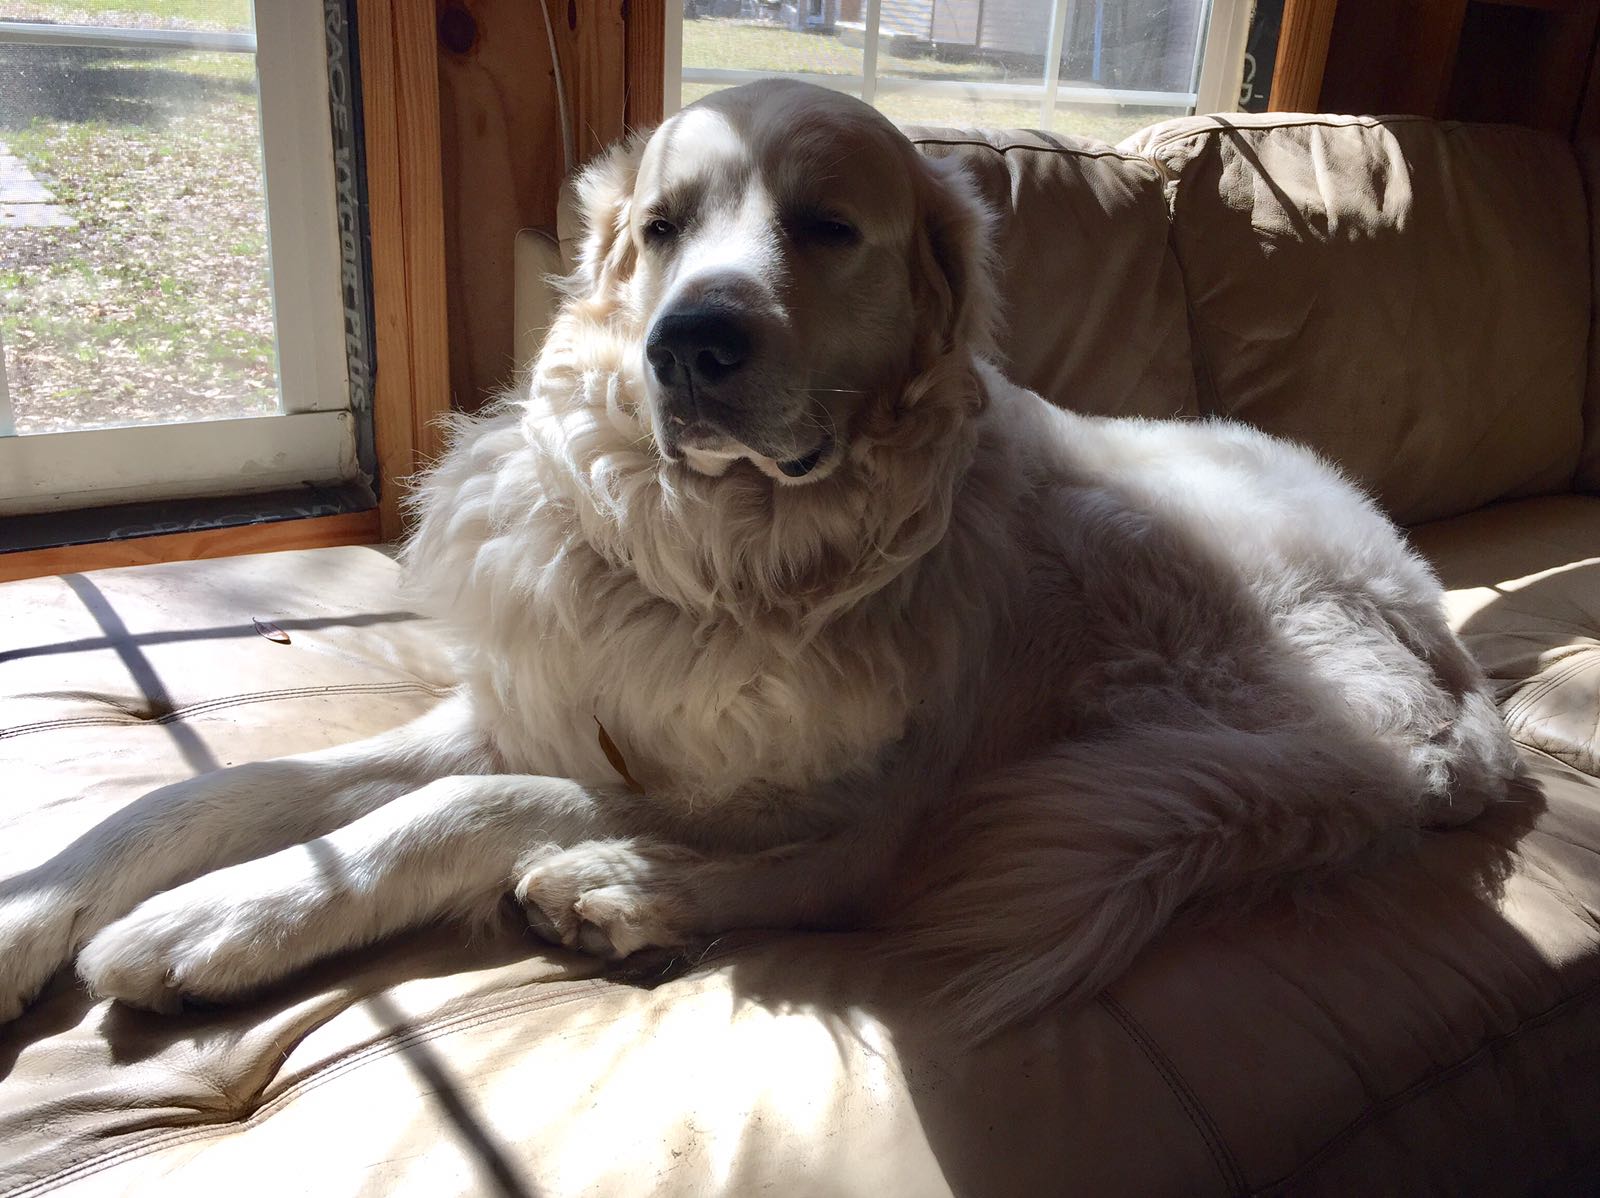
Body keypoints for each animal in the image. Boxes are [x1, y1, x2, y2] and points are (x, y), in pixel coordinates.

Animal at [0, 81, 1516, 1030]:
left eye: (826, 228)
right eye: (662, 227)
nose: (691, 343)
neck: (717, 552)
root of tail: (1464, 699)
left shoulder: (799, 773)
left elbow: (483, 807)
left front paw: (206, 922)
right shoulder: (534, 702)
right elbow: (228, 790)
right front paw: (52, 906)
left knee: (869, 876)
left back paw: (619, 892)